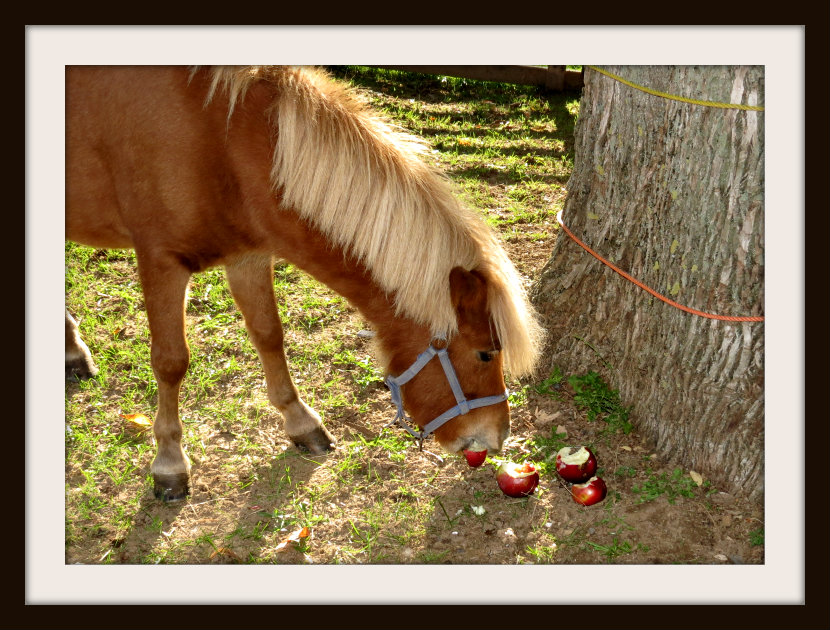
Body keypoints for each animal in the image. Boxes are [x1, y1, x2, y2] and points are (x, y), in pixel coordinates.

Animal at [66, 66, 544, 504]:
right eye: (486, 353)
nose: (496, 437)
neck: (222, 138)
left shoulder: (247, 257)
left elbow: (268, 335)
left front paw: (299, 421)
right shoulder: (161, 262)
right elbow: (170, 362)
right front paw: (169, 461)